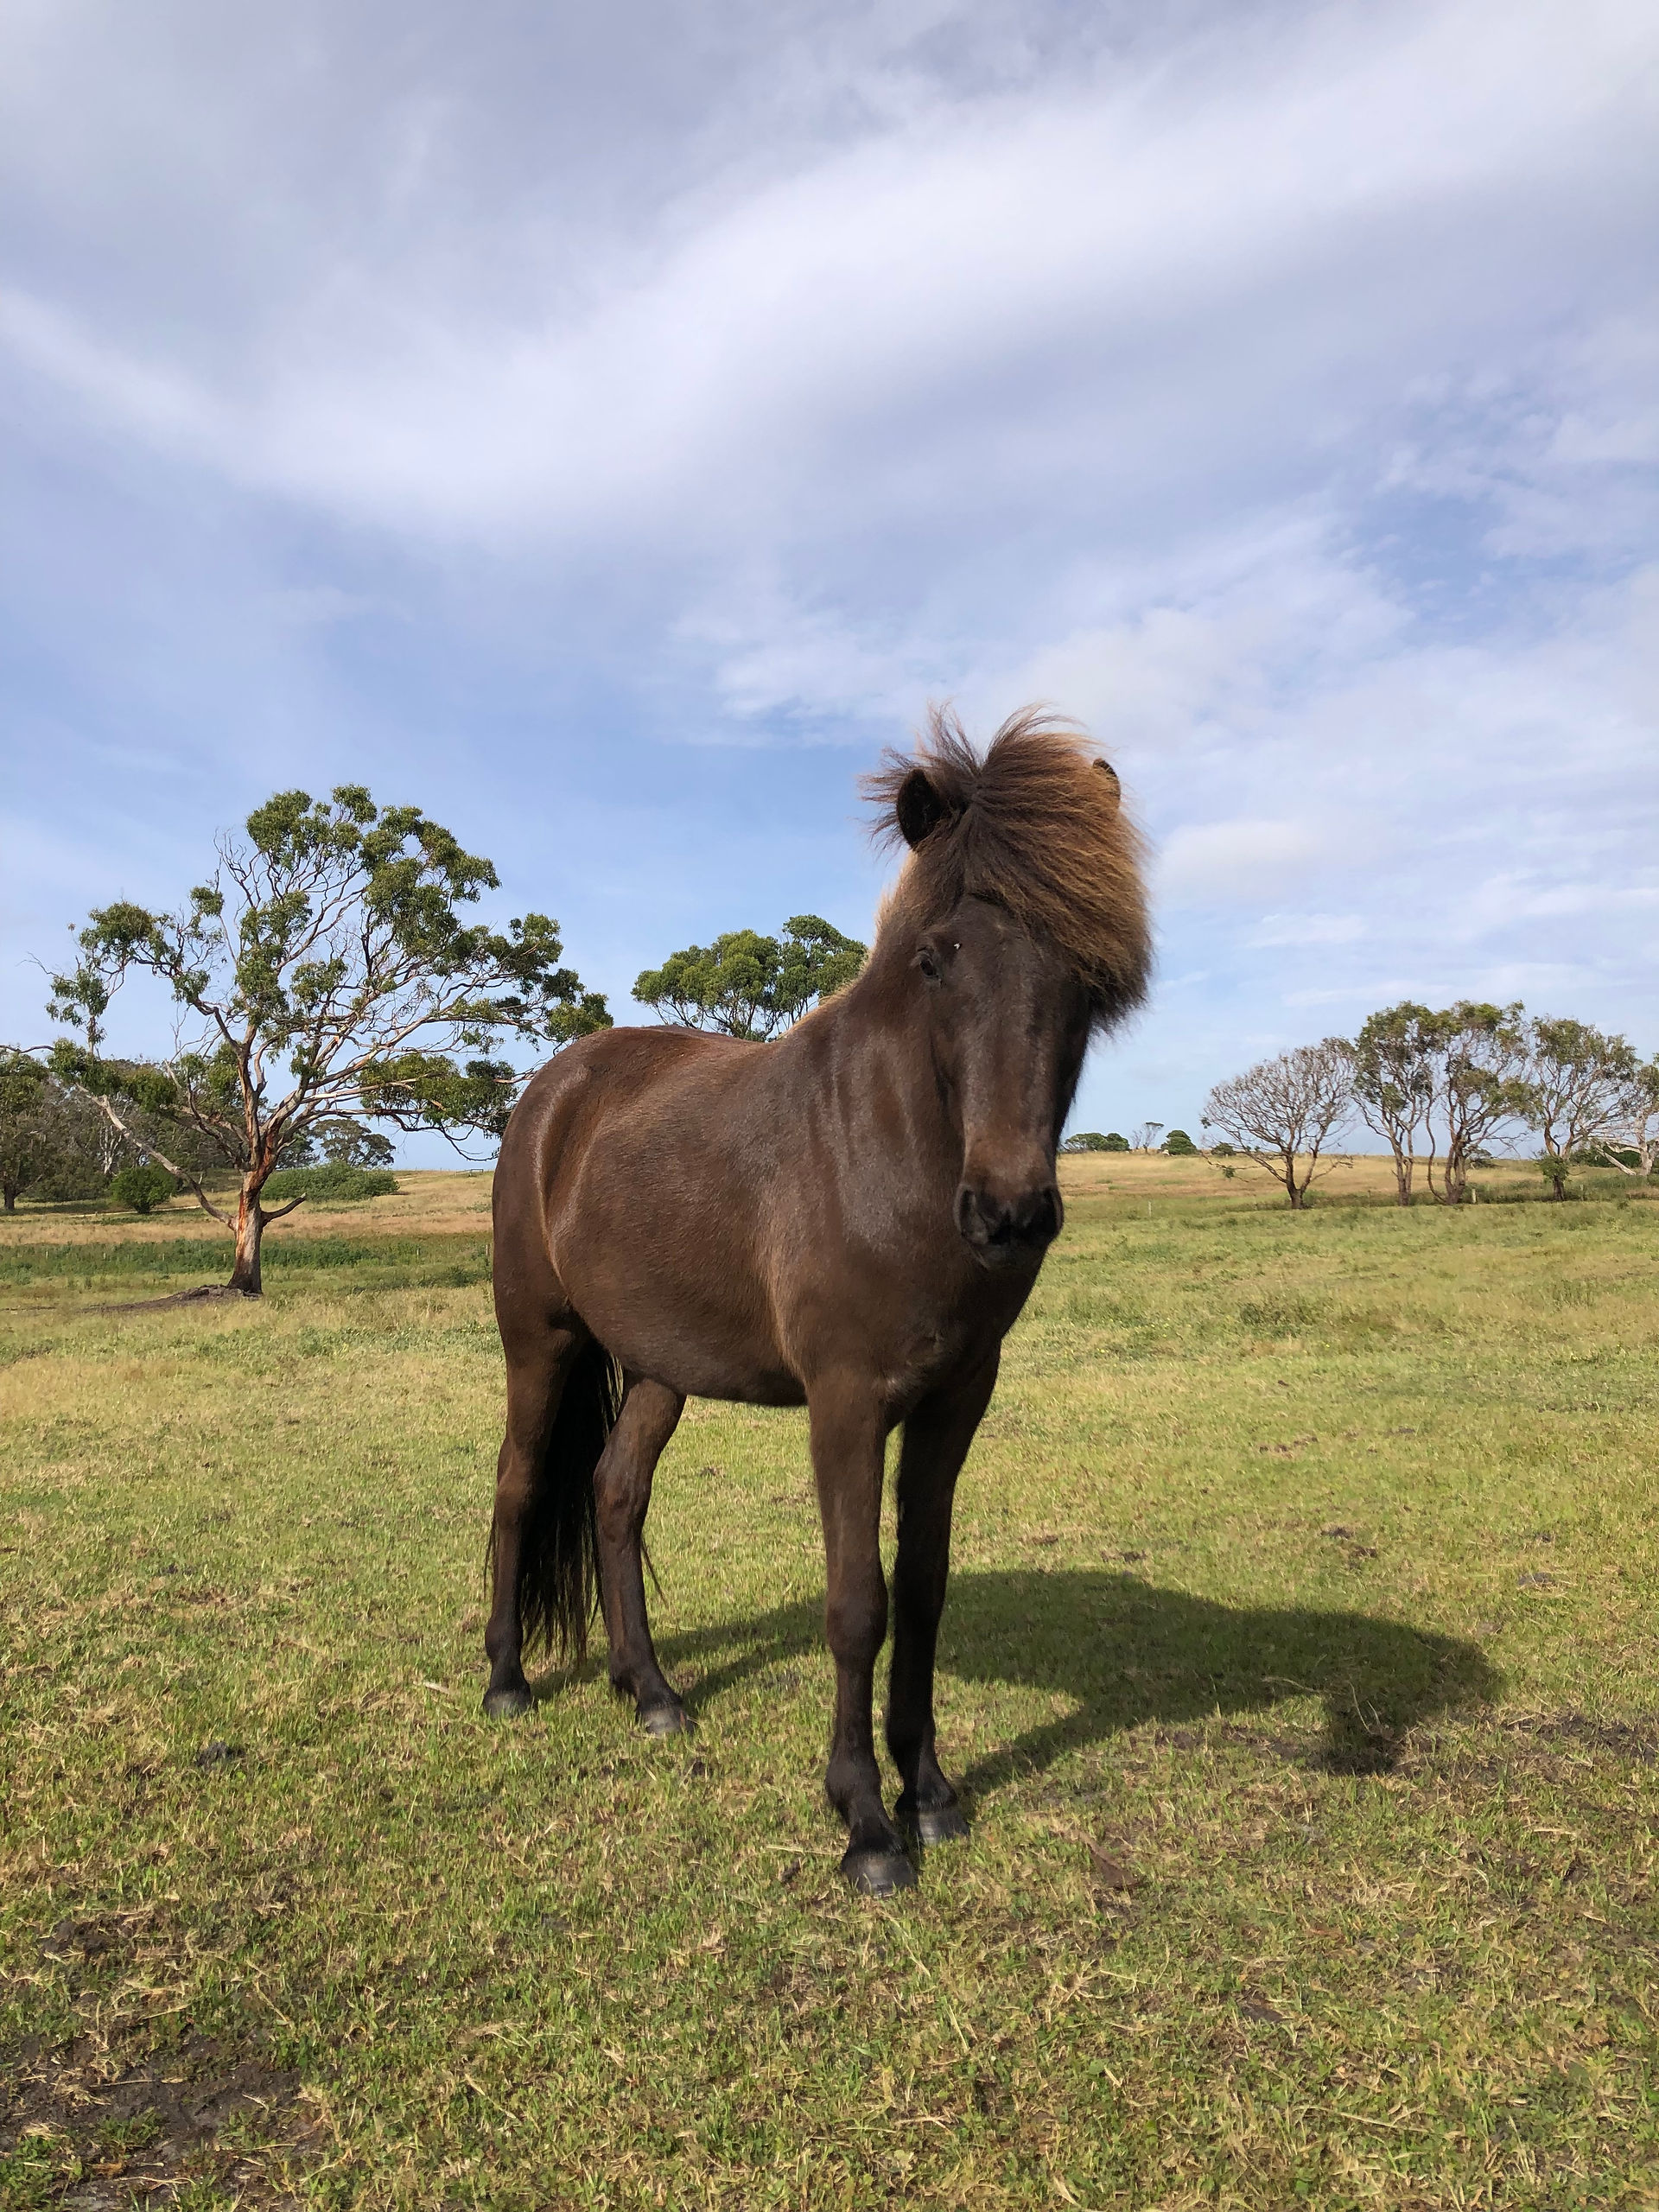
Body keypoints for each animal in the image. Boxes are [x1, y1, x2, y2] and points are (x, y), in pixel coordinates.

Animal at [483, 706, 1151, 1894]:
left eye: (1084, 967)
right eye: (937, 958)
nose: (1009, 1211)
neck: (889, 1150)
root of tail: (553, 1093)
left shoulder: (953, 1401)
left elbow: (923, 1589)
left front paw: (929, 1791)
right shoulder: (847, 1403)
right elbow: (857, 1605)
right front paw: (866, 1825)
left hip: (658, 1369)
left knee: (613, 1495)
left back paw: (652, 1693)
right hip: (541, 1341)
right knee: (519, 1488)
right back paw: (508, 1683)